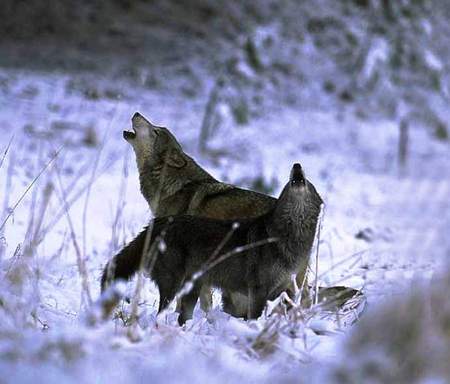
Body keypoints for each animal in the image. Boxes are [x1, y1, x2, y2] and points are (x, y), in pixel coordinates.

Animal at [101, 163, 324, 324]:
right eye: (289, 181)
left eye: (308, 181)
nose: (297, 165)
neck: (287, 238)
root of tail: (156, 224)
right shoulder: (257, 291)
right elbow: (254, 318)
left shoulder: (287, 290)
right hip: (175, 285)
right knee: (163, 313)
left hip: (192, 288)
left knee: (183, 317)